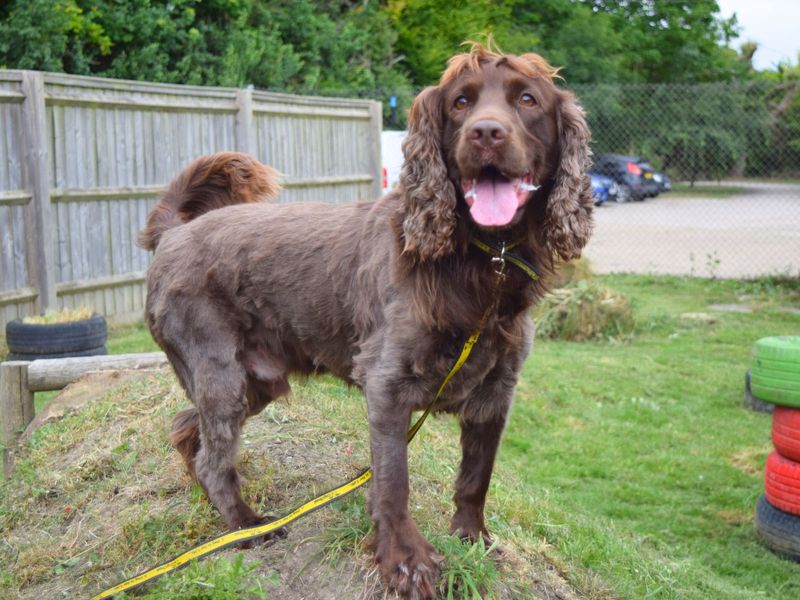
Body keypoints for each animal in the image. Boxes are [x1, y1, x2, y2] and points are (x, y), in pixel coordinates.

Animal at [138, 41, 592, 596]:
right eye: (460, 103)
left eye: (527, 99)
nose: (486, 132)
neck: (482, 260)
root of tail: (172, 233)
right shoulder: (387, 384)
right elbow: (394, 482)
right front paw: (405, 562)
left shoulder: (495, 393)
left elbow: (475, 478)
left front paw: (472, 540)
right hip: (221, 373)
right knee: (211, 456)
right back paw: (246, 526)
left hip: (253, 381)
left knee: (188, 431)